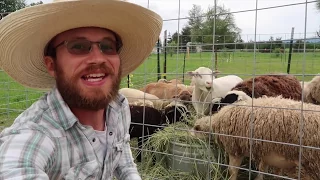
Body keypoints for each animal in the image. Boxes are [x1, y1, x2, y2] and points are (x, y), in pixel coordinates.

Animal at [192, 95, 320, 180]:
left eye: (195, 128)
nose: (190, 134)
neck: (215, 122)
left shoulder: (235, 149)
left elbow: (233, 170)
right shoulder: (265, 151)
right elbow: (263, 169)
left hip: (311, 162)